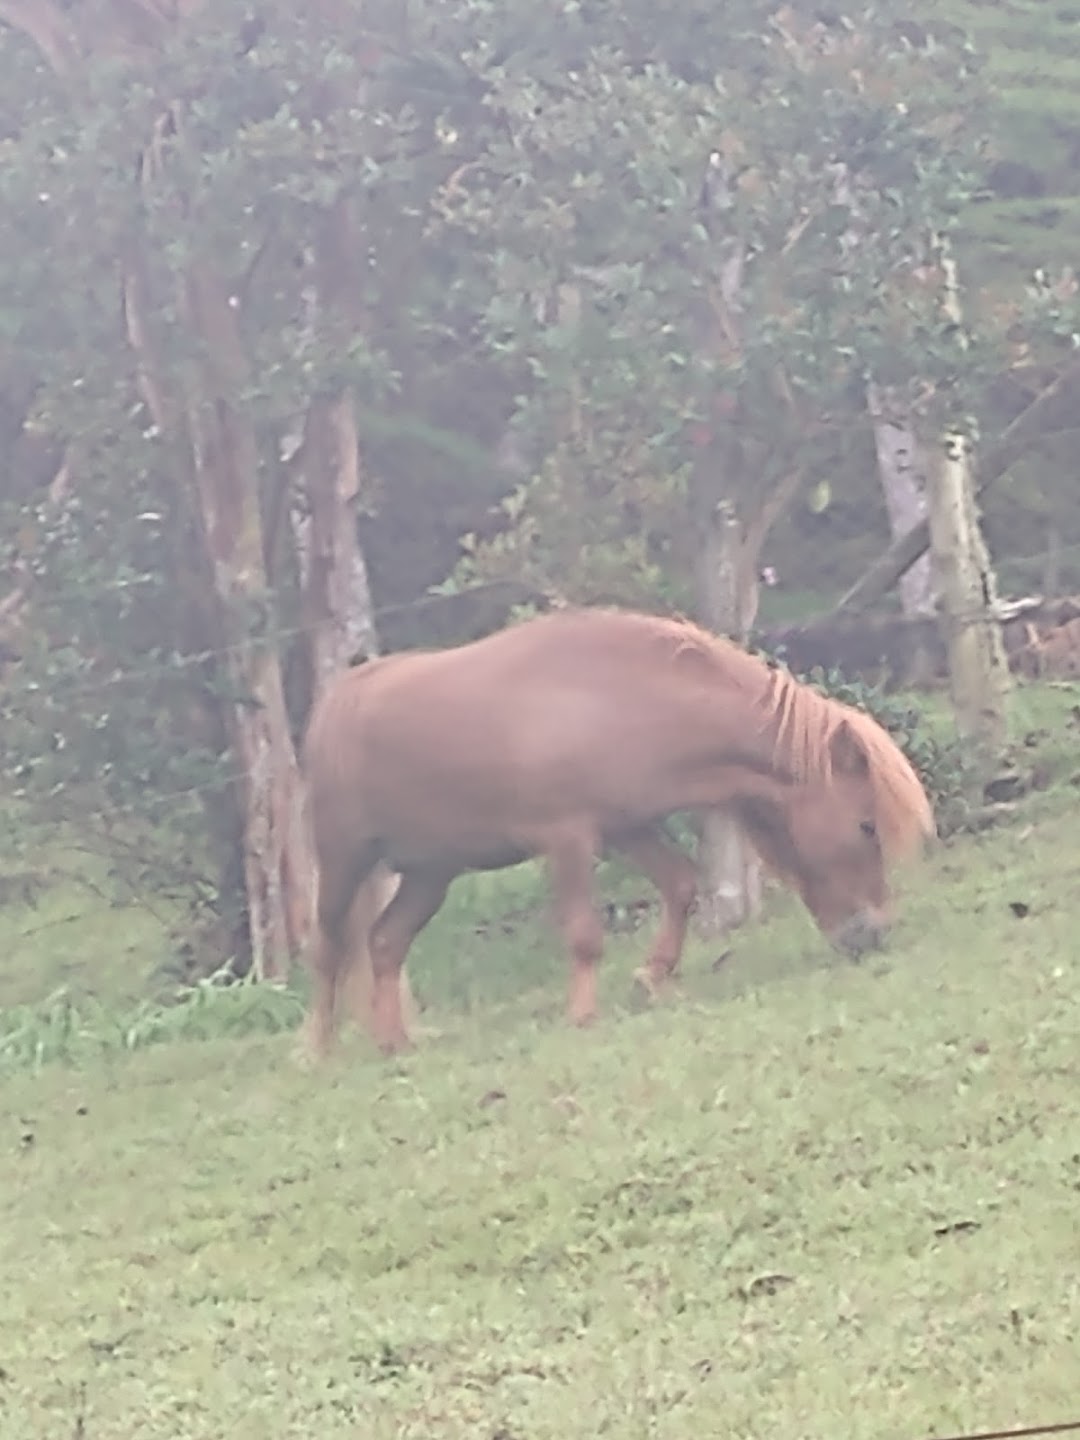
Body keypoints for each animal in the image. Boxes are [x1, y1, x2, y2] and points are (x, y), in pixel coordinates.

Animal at [298, 607, 938, 1059]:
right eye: (866, 825)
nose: (873, 933)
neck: (613, 697)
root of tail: (335, 704)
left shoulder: (629, 826)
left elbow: (680, 886)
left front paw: (651, 977)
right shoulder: (569, 839)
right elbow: (585, 932)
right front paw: (584, 1013)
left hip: (432, 872)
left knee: (385, 942)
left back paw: (394, 1042)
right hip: (343, 858)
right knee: (329, 948)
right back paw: (318, 1051)